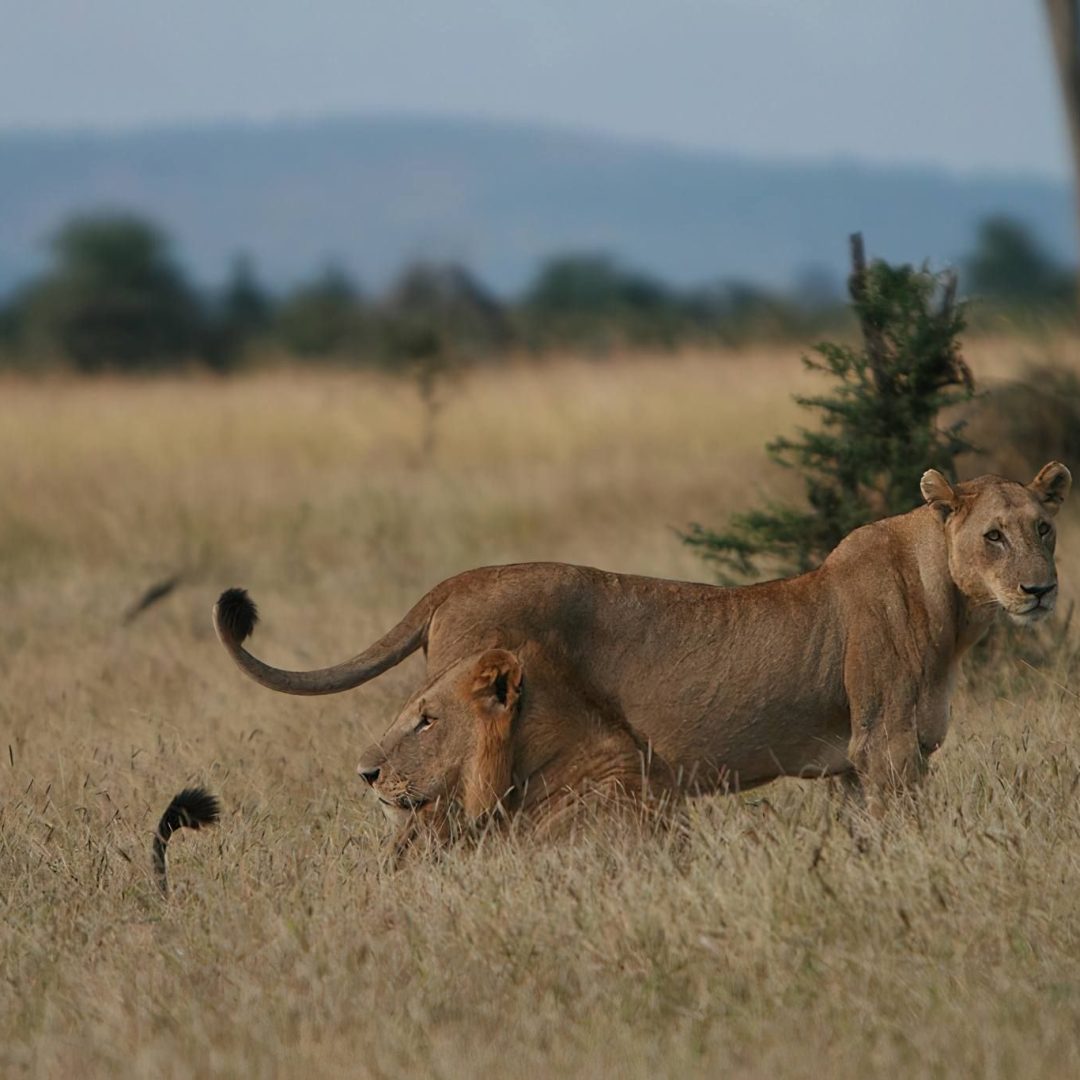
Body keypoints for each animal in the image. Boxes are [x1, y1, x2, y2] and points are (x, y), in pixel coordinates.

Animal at [214, 462, 1070, 811]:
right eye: (993, 537)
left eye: (1045, 530)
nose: (1041, 589)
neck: (953, 607)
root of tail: (454, 582)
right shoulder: (885, 750)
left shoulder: (861, 766)